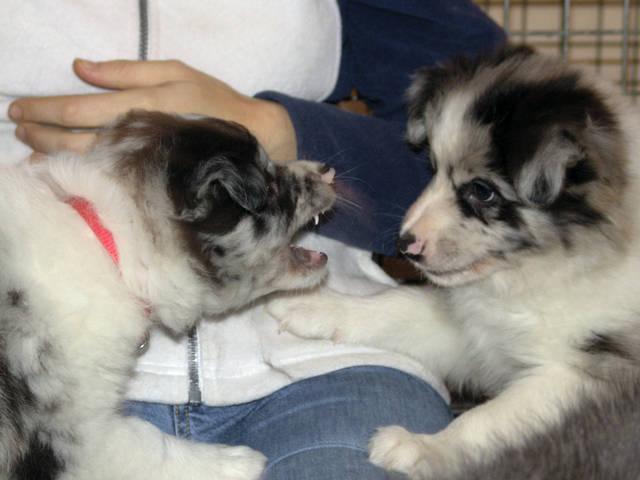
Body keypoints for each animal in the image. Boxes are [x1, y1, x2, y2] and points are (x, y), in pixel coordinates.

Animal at [0, 110, 335, 480]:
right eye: (270, 186)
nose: (328, 171)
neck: (113, 241)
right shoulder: (73, 435)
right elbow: (149, 444)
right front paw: (235, 462)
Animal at [267, 46, 640, 479]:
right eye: (432, 168)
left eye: (482, 190)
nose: (404, 245)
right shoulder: (480, 332)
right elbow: (399, 305)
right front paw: (318, 305)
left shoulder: (586, 374)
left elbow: (494, 418)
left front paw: (420, 446)